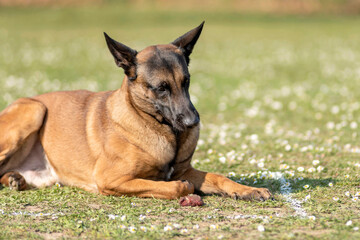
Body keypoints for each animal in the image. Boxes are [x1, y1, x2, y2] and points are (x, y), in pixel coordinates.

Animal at [0, 22, 270, 202]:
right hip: (35, 109)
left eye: (186, 82)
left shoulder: (185, 170)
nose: (193, 122)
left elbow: (218, 177)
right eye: (161, 88)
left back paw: (16, 179)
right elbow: (178, 187)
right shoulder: (112, 179)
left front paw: (249, 190)